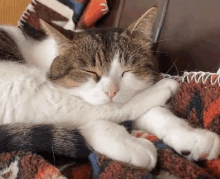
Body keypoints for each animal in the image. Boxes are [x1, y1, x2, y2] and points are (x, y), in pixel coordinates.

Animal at [0, 6, 219, 172]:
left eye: (126, 71)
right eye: (89, 71)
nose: (111, 91)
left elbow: (156, 114)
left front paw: (191, 136)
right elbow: (105, 114)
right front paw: (131, 145)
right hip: (23, 85)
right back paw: (164, 88)